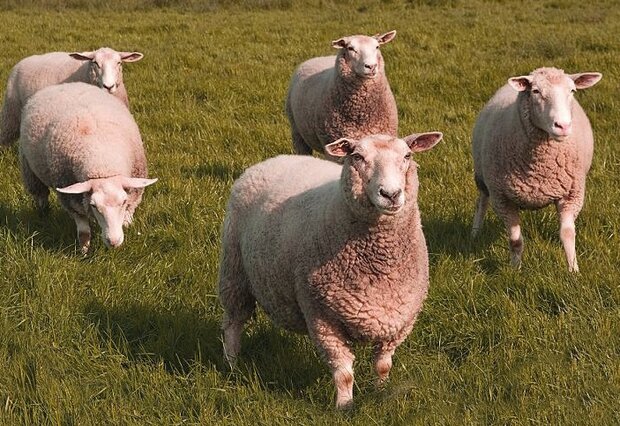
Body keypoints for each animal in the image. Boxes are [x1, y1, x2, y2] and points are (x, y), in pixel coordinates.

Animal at [19, 82, 156, 253]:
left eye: (123, 202)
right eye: (93, 205)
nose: (113, 242)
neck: (102, 162)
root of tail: (64, 85)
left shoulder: (133, 191)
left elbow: (128, 216)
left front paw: (127, 227)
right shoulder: (72, 200)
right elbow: (83, 232)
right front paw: (84, 251)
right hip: (30, 170)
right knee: (41, 195)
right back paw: (44, 214)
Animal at [218, 131, 440, 408]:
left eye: (407, 156)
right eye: (357, 157)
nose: (390, 194)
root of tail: (273, 159)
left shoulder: (397, 321)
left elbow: (383, 366)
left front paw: (380, 394)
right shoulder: (322, 317)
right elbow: (344, 374)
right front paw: (345, 407)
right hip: (234, 270)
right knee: (233, 323)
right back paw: (232, 365)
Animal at [284, 30, 398, 159]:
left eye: (377, 47)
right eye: (350, 48)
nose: (371, 66)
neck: (361, 114)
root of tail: (320, 57)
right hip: (297, 133)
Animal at [472, 66, 604, 272]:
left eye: (572, 91)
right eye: (535, 91)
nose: (563, 126)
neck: (540, 167)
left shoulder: (571, 195)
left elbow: (567, 234)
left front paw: (573, 270)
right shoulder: (502, 199)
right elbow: (515, 241)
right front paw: (515, 271)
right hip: (483, 178)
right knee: (482, 202)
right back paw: (475, 233)